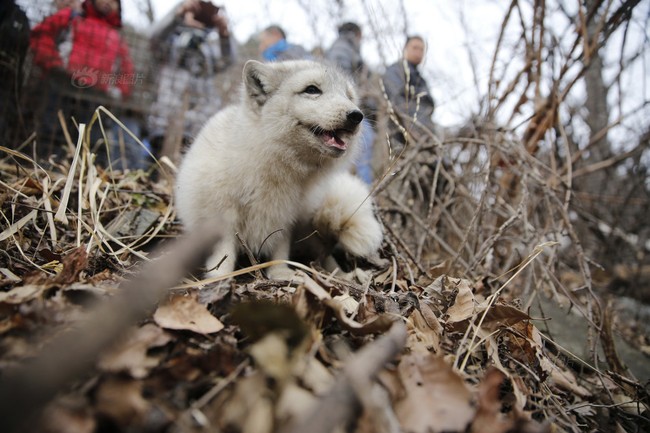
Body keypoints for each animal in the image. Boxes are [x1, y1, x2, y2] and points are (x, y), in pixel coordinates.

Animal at [175, 59, 382, 278]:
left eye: (349, 96)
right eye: (312, 90)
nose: (357, 115)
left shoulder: (286, 217)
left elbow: (281, 248)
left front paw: (280, 272)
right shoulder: (223, 215)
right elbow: (225, 251)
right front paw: (220, 276)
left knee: (325, 255)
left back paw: (343, 275)